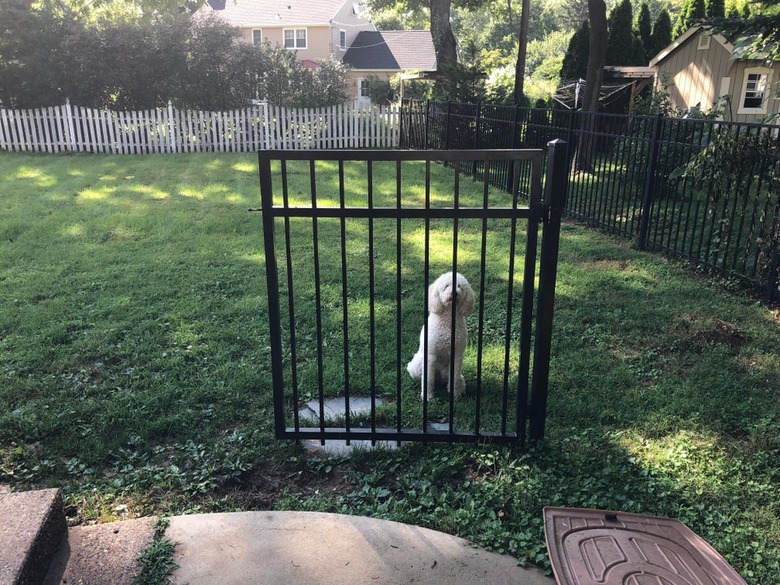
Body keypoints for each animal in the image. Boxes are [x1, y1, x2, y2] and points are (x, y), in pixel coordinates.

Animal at [408, 272, 476, 400]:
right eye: (446, 286)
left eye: (459, 286)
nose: (454, 293)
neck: (448, 321)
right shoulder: (430, 355)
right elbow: (428, 379)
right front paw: (428, 397)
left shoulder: (457, 355)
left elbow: (454, 377)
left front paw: (455, 394)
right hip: (417, 366)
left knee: (457, 378)